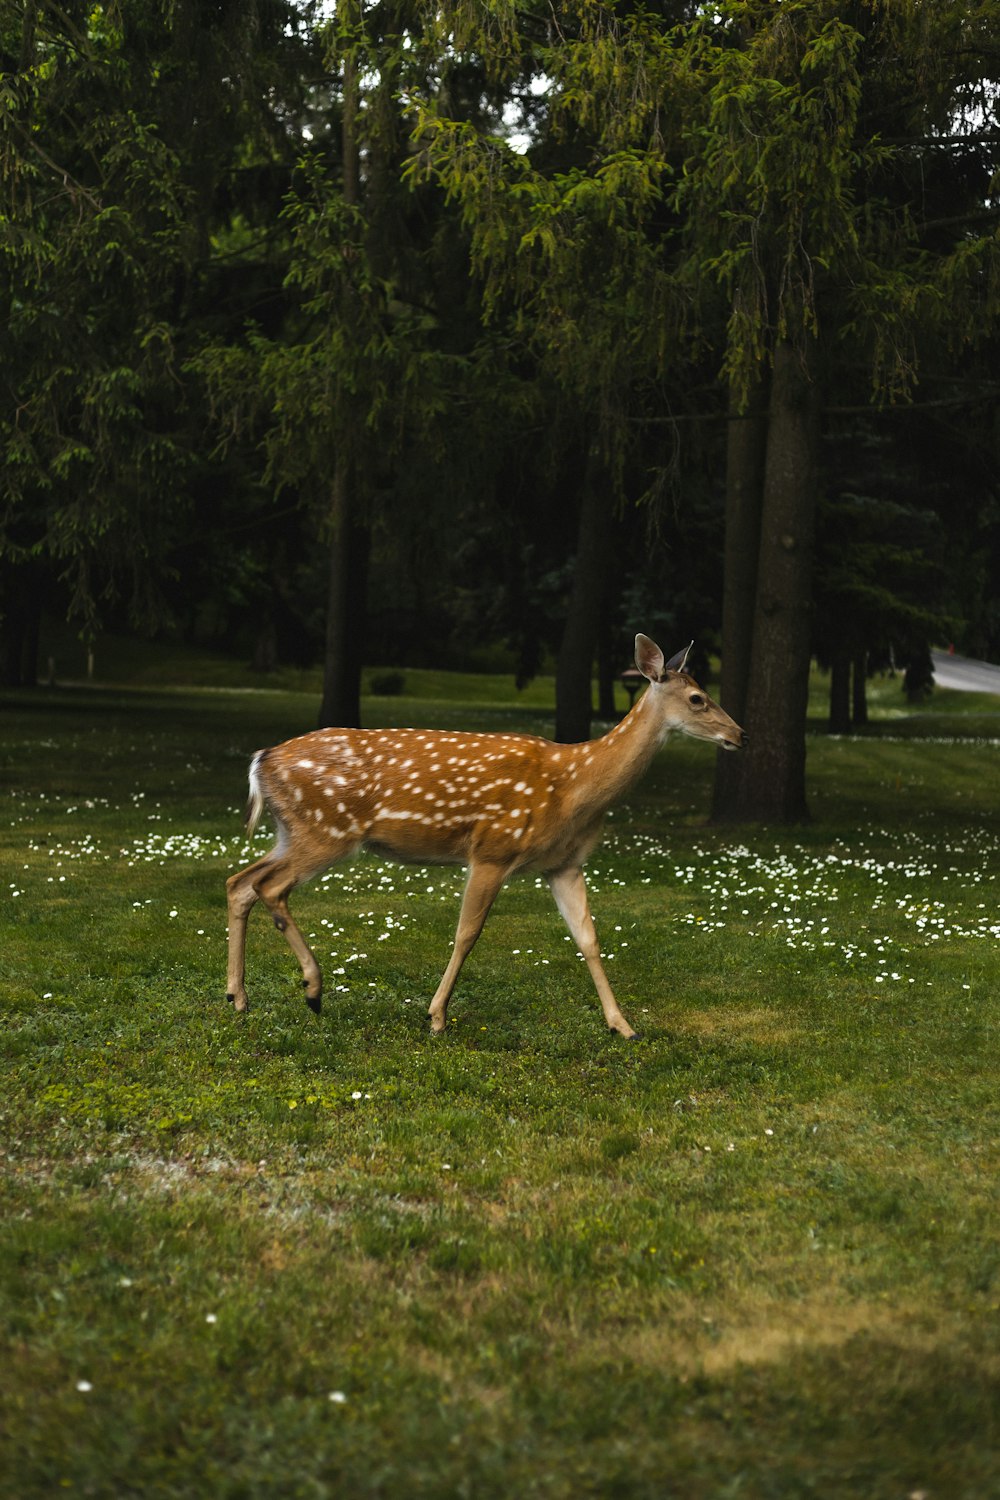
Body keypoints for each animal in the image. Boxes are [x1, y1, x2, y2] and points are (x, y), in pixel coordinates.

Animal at [224, 636, 743, 1044]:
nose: (739, 734)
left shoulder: (564, 863)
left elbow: (589, 938)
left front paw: (623, 1025)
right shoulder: (493, 849)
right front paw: (436, 1016)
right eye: (698, 698)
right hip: (325, 829)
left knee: (240, 882)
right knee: (269, 886)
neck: (575, 786)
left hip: (293, 831)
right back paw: (312, 990)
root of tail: (261, 760)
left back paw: (238, 996)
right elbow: (467, 933)